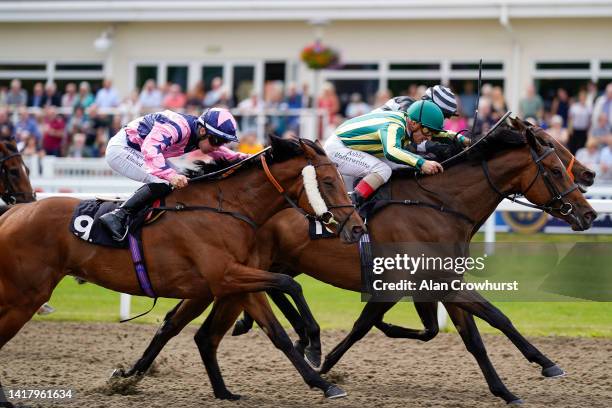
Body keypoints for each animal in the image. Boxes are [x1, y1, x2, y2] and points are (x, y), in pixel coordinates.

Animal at [0, 136, 364, 402]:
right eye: (328, 181)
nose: (357, 226)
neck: (227, 208)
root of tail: (13, 213)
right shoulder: (227, 275)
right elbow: (290, 284)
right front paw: (314, 346)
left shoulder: (235, 282)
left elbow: (277, 332)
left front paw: (321, 380)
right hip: (25, 295)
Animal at [113, 119, 592, 404]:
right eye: (554, 166)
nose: (587, 211)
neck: (441, 204)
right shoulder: (435, 281)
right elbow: (490, 321)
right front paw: (534, 371)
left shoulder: (433, 281)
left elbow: (464, 331)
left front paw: (513, 382)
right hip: (239, 268)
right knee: (196, 317)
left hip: (230, 273)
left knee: (179, 321)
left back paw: (132, 374)